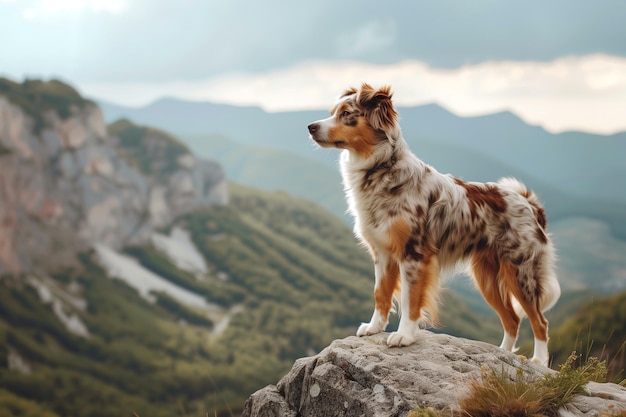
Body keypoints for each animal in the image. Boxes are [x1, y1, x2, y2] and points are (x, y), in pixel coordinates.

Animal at [304, 83, 560, 364]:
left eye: (347, 113)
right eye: (331, 113)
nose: (310, 126)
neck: (382, 168)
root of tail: (530, 204)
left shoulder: (414, 254)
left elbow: (410, 299)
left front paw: (404, 336)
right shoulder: (383, 253)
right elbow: (381, 293)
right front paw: (374, 327)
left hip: (521, 273)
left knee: (540, 322)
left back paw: (538, 361)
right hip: (486, 277)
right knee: (512, 319)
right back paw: (502, 356)